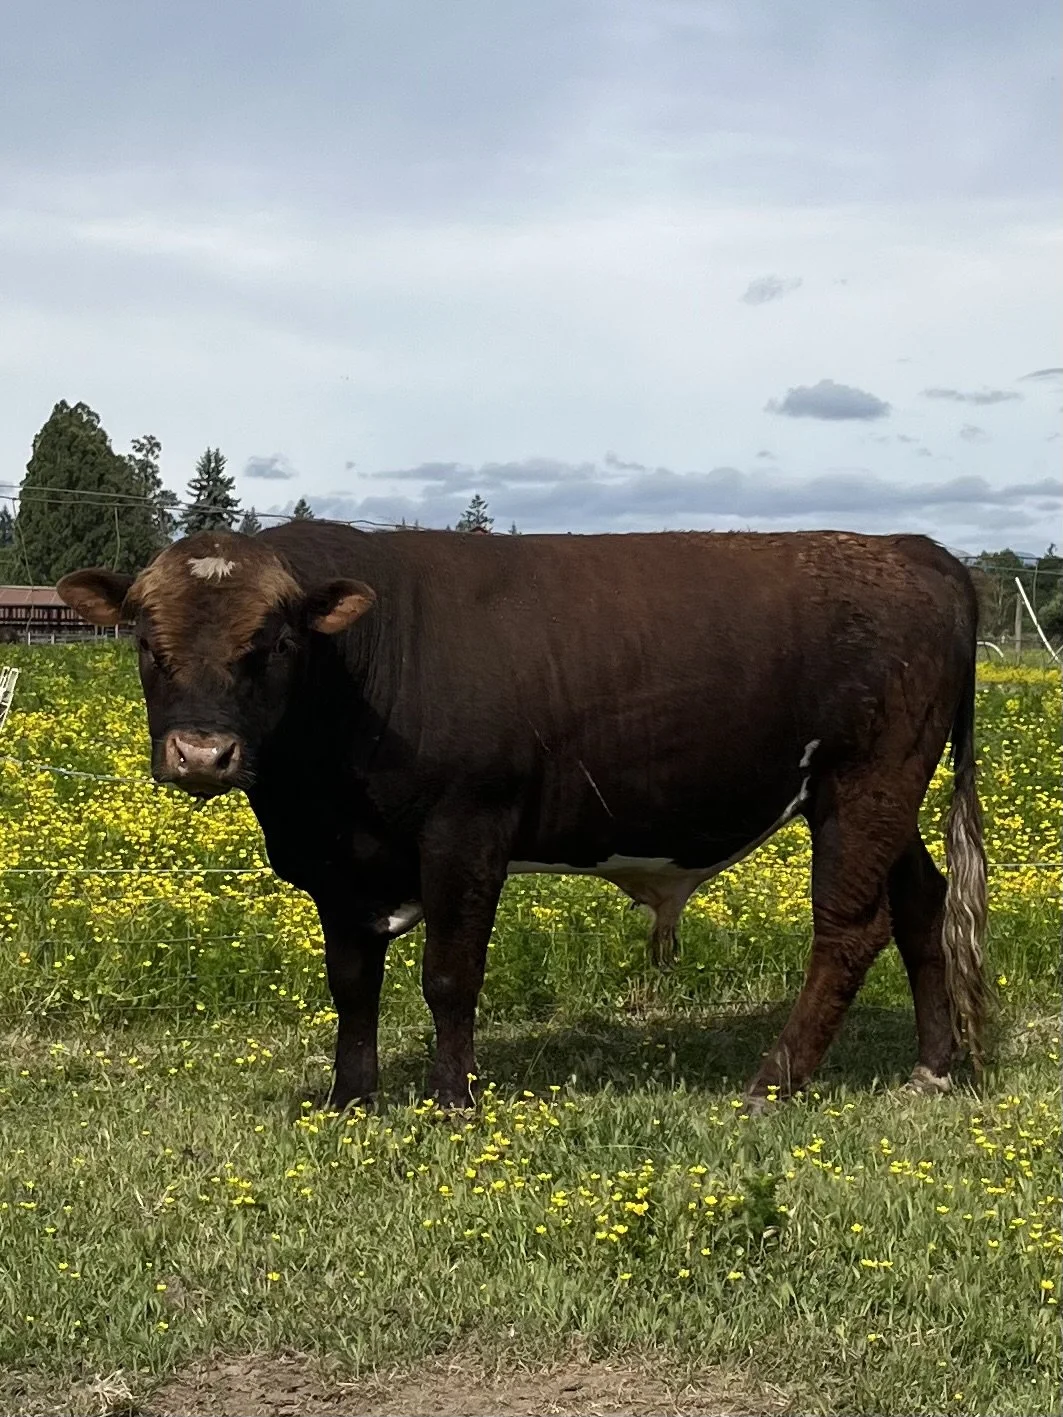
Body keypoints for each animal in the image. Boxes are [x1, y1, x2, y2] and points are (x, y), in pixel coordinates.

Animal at [57, 523, 988, 1111]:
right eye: (145, 641)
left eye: (274, 642)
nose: (201, 753)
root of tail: (910, 548)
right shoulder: (339, 864)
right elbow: (351, 981)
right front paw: (350, 1097)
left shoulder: (466, 828)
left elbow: (448, 975)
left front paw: (451, 1100)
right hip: (880, 797)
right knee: (920, 905)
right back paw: (931, 1068)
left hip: (864, 782)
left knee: (847, 928)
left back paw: (774, 1083)